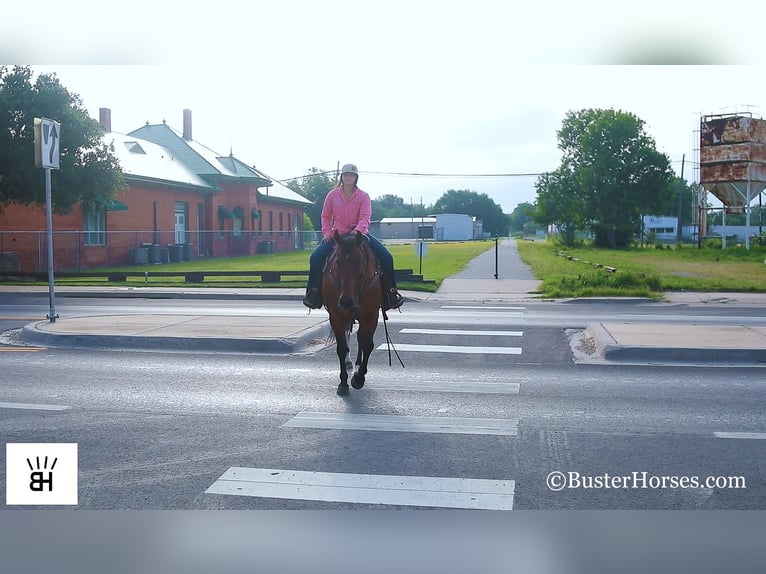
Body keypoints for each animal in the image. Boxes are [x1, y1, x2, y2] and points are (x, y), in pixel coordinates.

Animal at [322, 230, 384, 396]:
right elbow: (341, 348)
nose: (346, 301)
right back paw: (350, 362)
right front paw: (343, 382)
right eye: (337, 263)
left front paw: (358, 378)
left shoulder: (371, 315)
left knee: (360, 338)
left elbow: (368, 344)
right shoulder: (336, 316)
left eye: (358, 261)